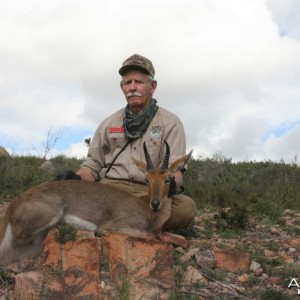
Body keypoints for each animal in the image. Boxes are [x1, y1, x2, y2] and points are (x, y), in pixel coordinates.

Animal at [0, 142, 192, 266]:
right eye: (146, 179)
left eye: (168, 179)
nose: (156, 203)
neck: (146, 208)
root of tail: (13, 204)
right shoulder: (120, 227)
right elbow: (156, 236)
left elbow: (182, 240)